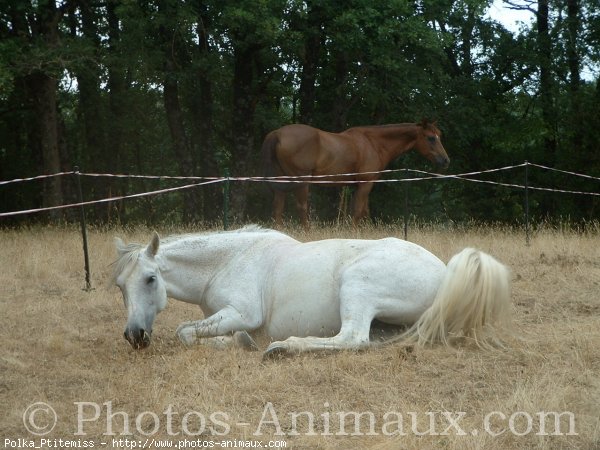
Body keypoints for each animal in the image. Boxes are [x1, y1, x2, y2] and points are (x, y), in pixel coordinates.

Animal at [112, 225, 510, 356]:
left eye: (150, 279)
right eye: (120, 286)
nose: (134, 335)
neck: (228, 260)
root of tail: (446, 273)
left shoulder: (241, 313)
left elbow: (184, 332)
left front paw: (245, 341)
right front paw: (238, 341)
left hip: (357, 286)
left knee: (352, 339)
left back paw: (284, 348)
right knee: (369, 342)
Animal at [262, 120, 450, 227]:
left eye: (439, 136)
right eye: (431, 138)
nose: (445, 160)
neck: (373, 142)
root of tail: (277, 134)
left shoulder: (357, 185)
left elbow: (364, 211)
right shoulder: (366, 183)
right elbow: (358, 211)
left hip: (280, 184)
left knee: (277, 208)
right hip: (302, 182)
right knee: (301, 208)